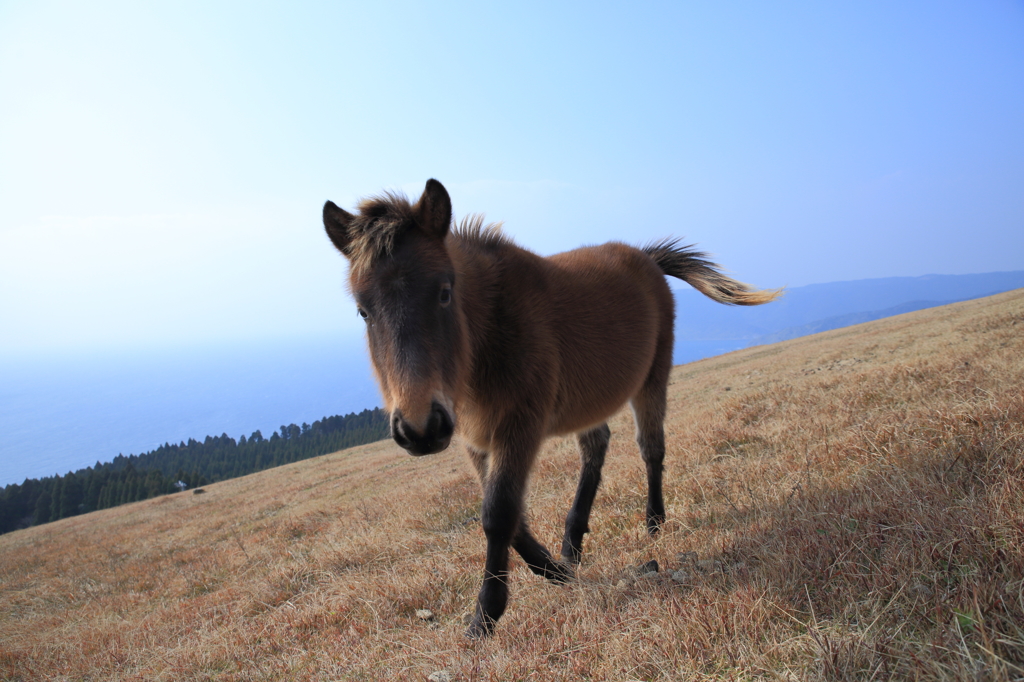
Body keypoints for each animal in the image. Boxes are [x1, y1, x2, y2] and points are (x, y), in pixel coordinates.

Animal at [323, 178, 778, 634]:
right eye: (363, 311)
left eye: (445, 293)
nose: (420, 429)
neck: (492, 334)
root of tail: (646, 258)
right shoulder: (475, 439)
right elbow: (510, 516)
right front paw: (554, 570)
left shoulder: (519, 426)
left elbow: (498, 513)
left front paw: (486, 614)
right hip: (589, 402)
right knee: (596, 448)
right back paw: (571, 544)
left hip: (652, 379)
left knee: (651, 448)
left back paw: (653, 522)